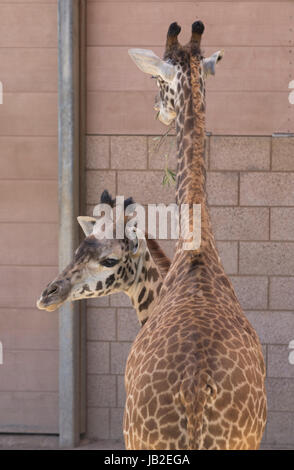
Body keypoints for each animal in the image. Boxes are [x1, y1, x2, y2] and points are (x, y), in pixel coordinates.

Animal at [126, 20, 266, 450]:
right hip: (242, 440)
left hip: (141, 437)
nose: (157, 110)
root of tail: (193, 390)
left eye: (157, 78)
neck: (198, 253)